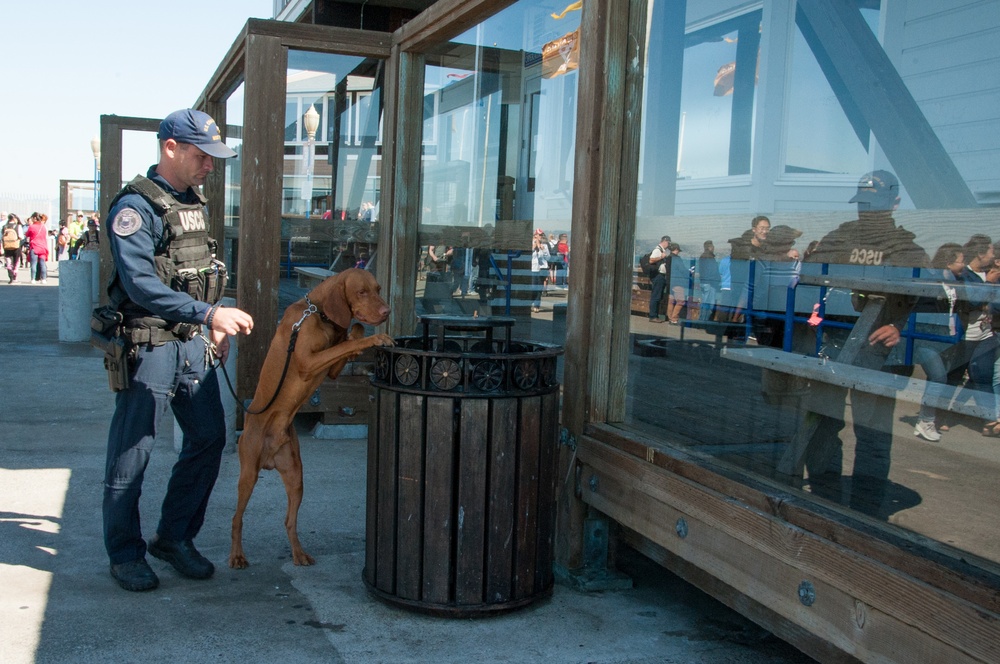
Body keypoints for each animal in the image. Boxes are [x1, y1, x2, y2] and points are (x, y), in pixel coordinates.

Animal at [229, 268, 390, 568]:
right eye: (361, 292)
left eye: (378, 289)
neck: (317, 313)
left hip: (296, 477)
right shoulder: (307, 361)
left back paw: (298, 553)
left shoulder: (332, 371)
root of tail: (269, 458)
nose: (387, 312)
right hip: (249, 474)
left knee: (289, 521)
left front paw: (354, 334)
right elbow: (346, 343)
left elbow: (352, 335)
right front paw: (376, 339)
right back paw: (237, 556)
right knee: (237, 518)